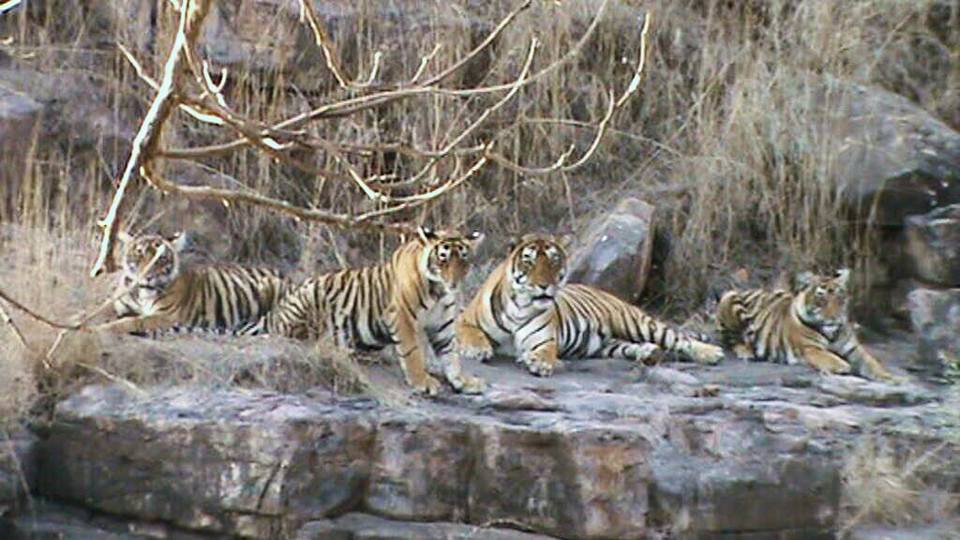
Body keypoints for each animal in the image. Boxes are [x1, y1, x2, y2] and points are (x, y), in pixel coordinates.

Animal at [98, 232, 292, 338]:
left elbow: (131, 321)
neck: (142, 293)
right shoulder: (117, 304)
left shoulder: (166, 316)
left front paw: (103, 329)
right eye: (139, 254)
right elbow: (98, 311)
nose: (148, 276)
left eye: (162, 258)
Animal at [246, 228, 488, 396]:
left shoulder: (443, 324)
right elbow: (412, 353)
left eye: (463, 259)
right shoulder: (402, 317)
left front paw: (463, 381)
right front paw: (423, 382)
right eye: (443, 259)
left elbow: (451, 354)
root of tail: (274, 313)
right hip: (312, 297)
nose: (454, 283)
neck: (439, 291)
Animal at [456, 232, 720, 376]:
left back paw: (711, 353)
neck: (520, 305)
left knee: (678, 338)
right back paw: (648, 352)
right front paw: (477, 350)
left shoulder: (544, 339)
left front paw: (539, 362)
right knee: (631, 346)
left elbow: (544, 351)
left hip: (638, 323)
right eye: (528, 261)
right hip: (610, 344)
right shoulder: (465, 321)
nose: (544, 285)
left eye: (553, 261)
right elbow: (472, 334)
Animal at [716, 268, 896, 380]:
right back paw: (745, 351)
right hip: (730, 297)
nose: (834, 318)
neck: (832, 333)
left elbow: (872, 362)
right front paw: (844, 366)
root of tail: (748, 289)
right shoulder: (811, 349)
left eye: (839, 298)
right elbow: (832, 358)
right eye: (821, 299)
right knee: (732, 338)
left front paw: (890, 378)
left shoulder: (854, 348)